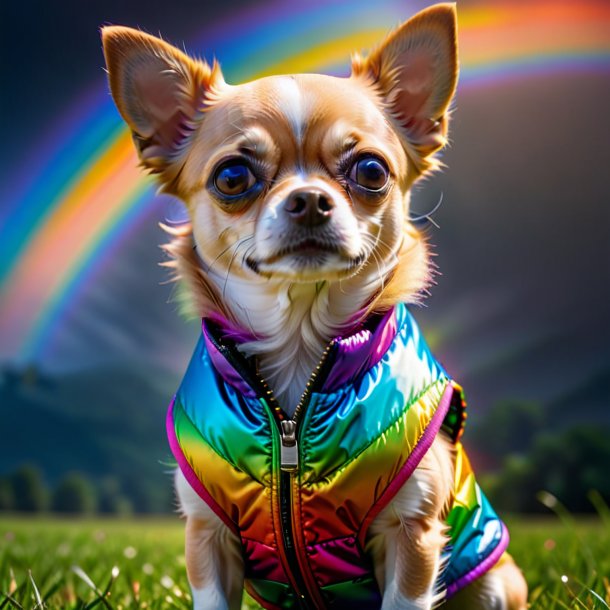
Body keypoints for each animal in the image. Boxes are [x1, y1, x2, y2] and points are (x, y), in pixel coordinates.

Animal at [101, 5, 528, 608]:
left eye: (371, 170)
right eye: (232, 176)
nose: (308, 199)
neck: (301, 345)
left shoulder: (414, 535)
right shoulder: (207, 537)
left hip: (493, 581)